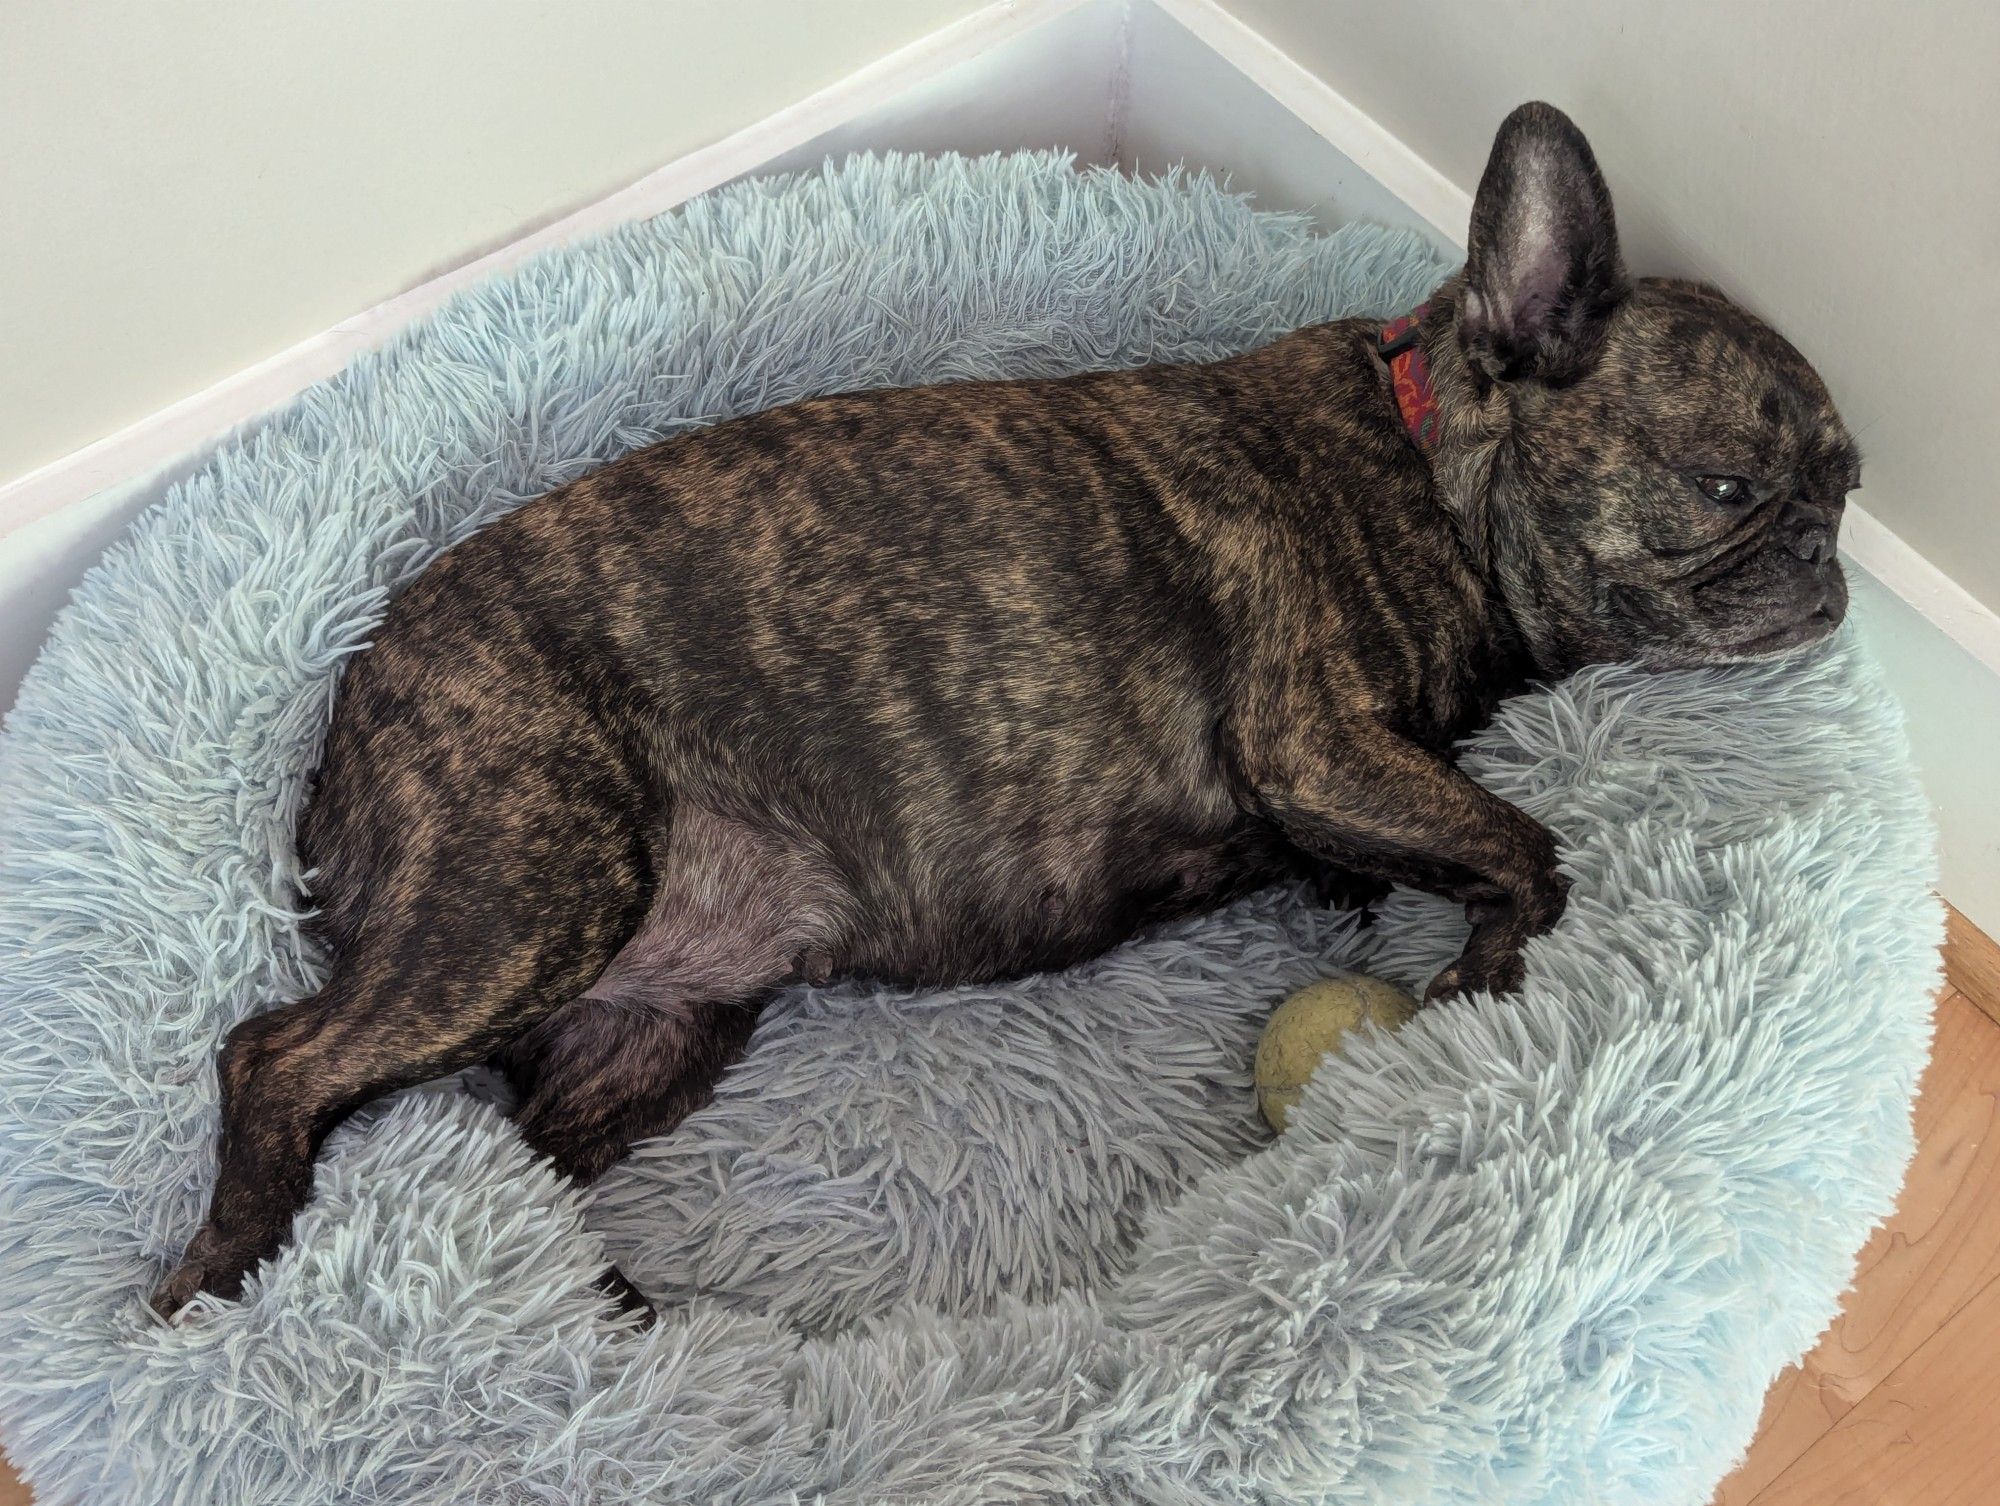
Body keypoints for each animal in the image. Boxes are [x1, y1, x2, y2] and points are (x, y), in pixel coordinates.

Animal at [156, 103, 1856, 1312]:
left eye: (1846, 485)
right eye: (1728, 486)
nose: (1830, 564)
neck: (1431, 463)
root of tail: (347, 719)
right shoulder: (1317, 743)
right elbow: (1529, 847)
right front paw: (1481, 978)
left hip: (665, 1022)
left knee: (523, 1153)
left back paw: (601, 1301)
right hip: (535, 884)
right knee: (275, 1057)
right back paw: (229, 1271)